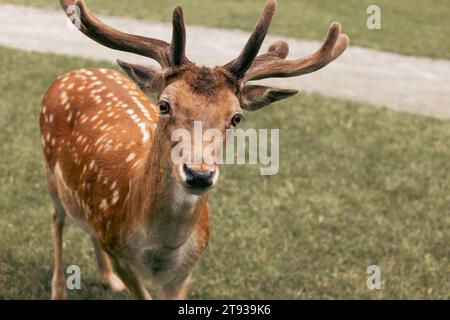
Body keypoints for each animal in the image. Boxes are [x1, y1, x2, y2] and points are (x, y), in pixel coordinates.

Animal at [40, 0, 350, 300]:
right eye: (164, 105)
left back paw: (108, 280)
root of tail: (73, 73)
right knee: (57, 219)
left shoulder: (187, 270)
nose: (198, 174)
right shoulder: (116, 249)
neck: (161, 249)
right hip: (50, 171)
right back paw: (58, 290)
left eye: (236, 118)